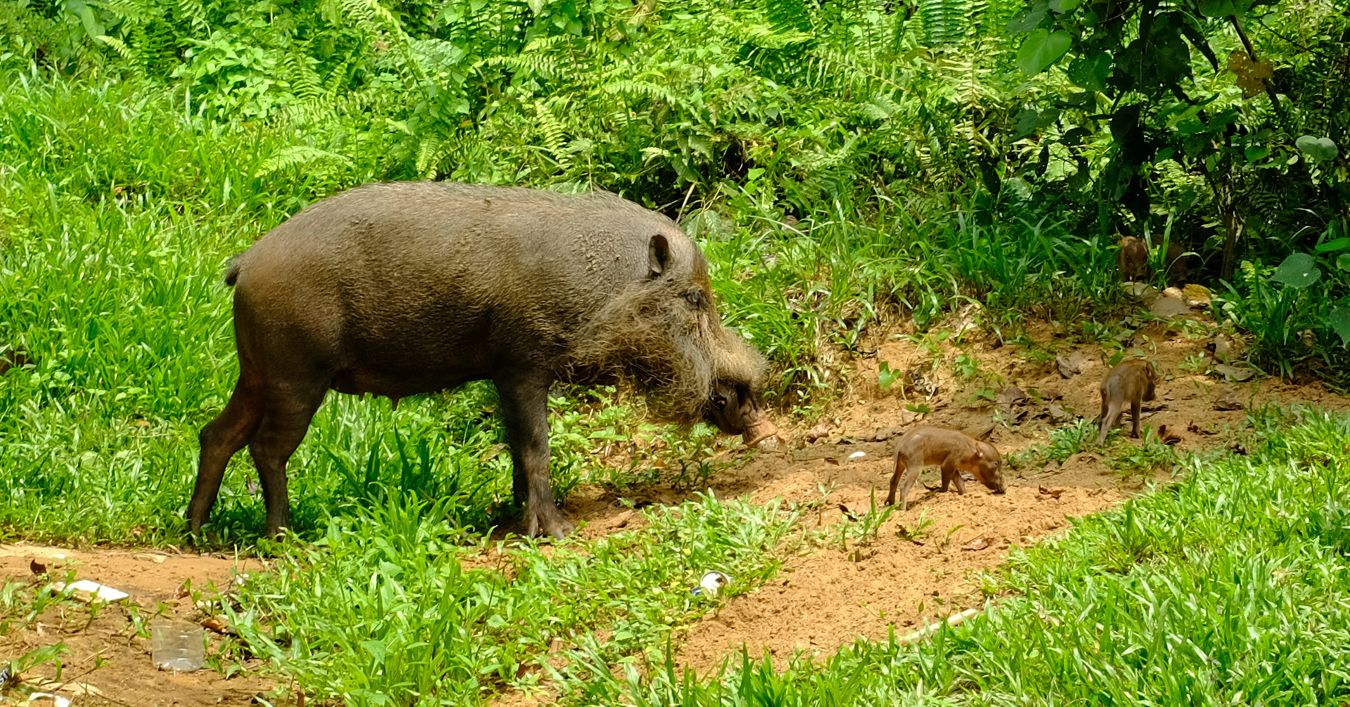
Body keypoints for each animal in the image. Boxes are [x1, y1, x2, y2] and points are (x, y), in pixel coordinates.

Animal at [191, 180, 783, 536]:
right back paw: (283, 536)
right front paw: (555, 532)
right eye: (695, 298)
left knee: (216, 434)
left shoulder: (503, 372)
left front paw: (512, 519)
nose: (760, 419)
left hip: (257, 372)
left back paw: (196, 532)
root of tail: (245, 262)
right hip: (296, 375)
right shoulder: (523, 363)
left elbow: (516, 444)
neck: (606, 286)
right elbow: (536, 444)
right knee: (267, 448)